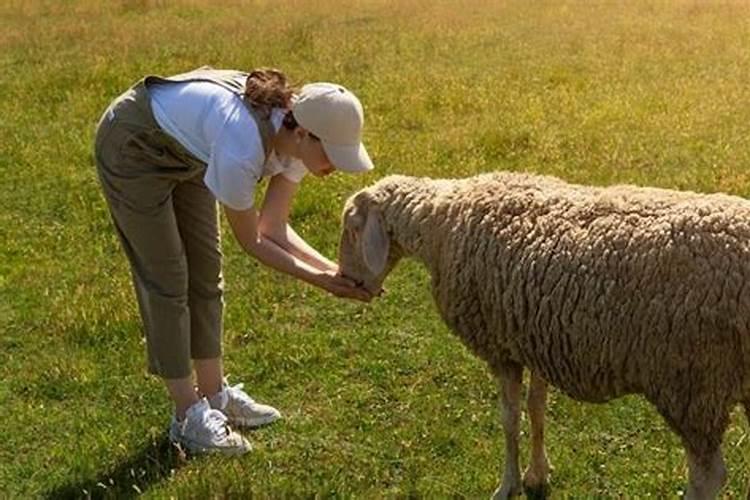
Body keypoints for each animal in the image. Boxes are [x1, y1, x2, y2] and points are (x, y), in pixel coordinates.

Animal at [338, 172, 750, 500]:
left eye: (352, 229)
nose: (349, 282)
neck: (440, 223)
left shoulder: (501, 348)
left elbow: (509, 418)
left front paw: (507, 485)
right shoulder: (534, 336)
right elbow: (536, 408)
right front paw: (537, 473)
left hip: (692, 381)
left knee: (709, 476)